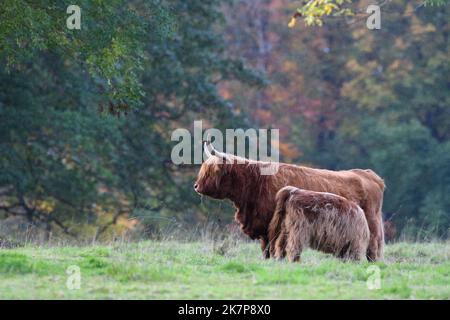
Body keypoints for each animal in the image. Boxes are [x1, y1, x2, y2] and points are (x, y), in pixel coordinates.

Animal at [192, 141, 384, 262]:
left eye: (210, 170)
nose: (196, 186)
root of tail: (368, 174)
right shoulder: (264, 227)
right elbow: (266, 250)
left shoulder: (274, 226)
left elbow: (275, 248)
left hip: (371, 226)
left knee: (372, 249)